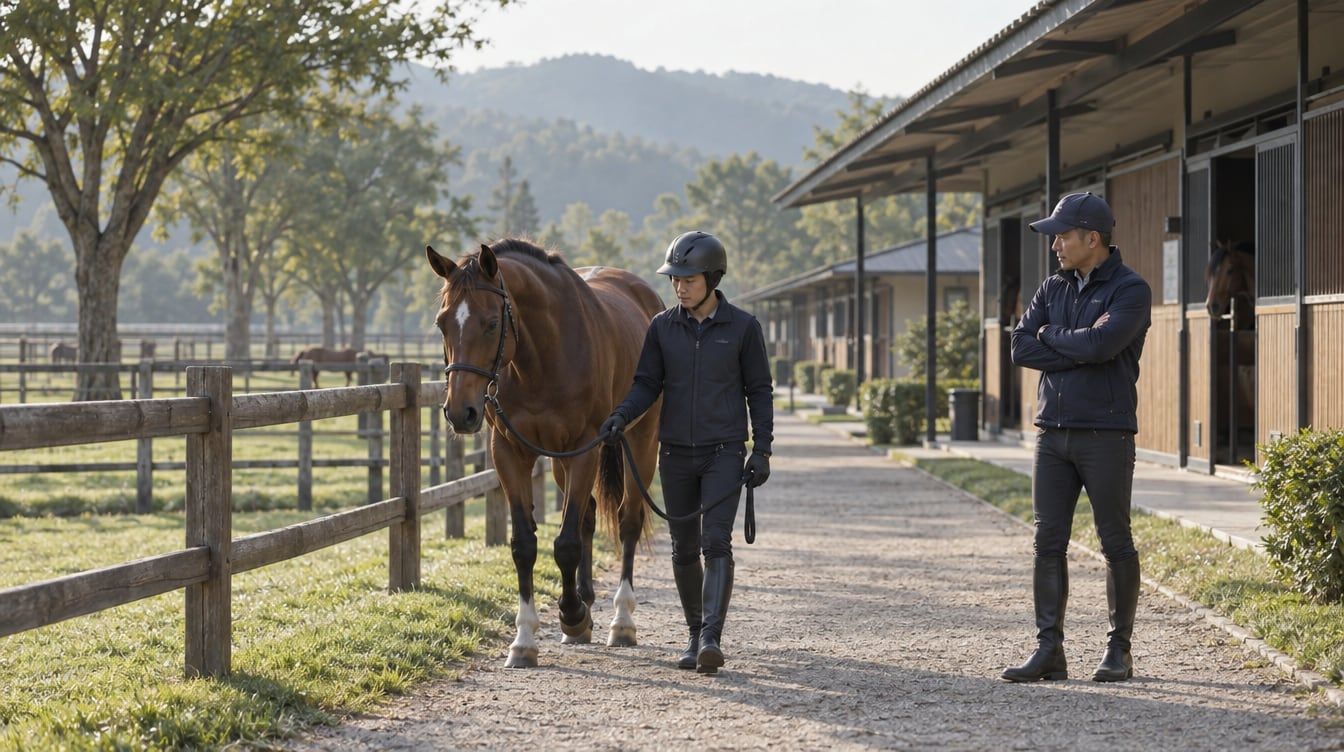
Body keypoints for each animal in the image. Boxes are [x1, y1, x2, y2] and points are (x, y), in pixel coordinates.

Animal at [426, 239, 662, 668]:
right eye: (442, 323)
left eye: (491, 323)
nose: (459, 412)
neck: (542, 358)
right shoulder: (510, 451)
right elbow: (525, 545)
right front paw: (525, 639)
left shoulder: (585, 448)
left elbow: (565, 544)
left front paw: (570, 615)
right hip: (558, 461)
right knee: (587, 516)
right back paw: (586, 605)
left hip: (641, 440)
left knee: (628, 522)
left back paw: (620, 621)